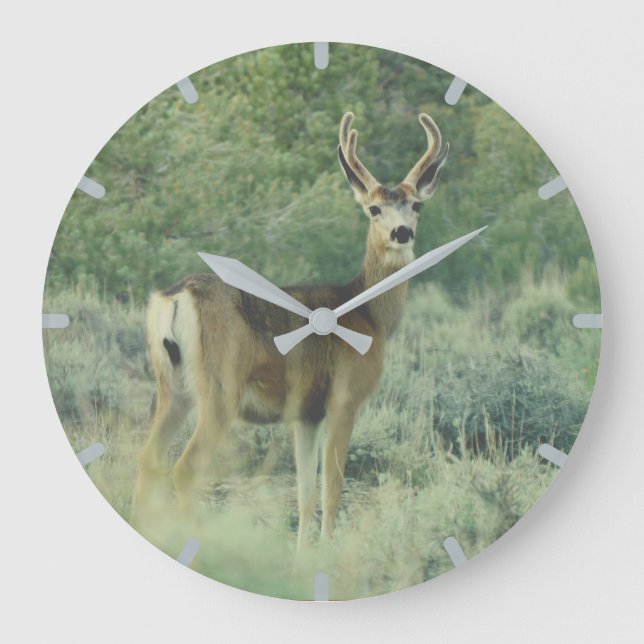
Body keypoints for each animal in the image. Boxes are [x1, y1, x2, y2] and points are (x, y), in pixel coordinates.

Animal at [131, 112, 449, 553]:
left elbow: (305, 493)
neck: (369, 313)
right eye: (373, 209)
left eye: (416, 205)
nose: (401, 232)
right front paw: (328, 552)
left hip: (171, 386)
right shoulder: (344, 397)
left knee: (148, 459)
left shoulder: (306, 413)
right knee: (185, 467)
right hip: (219, 387)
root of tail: (176, 296)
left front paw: (302, 557)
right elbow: (332, 488)